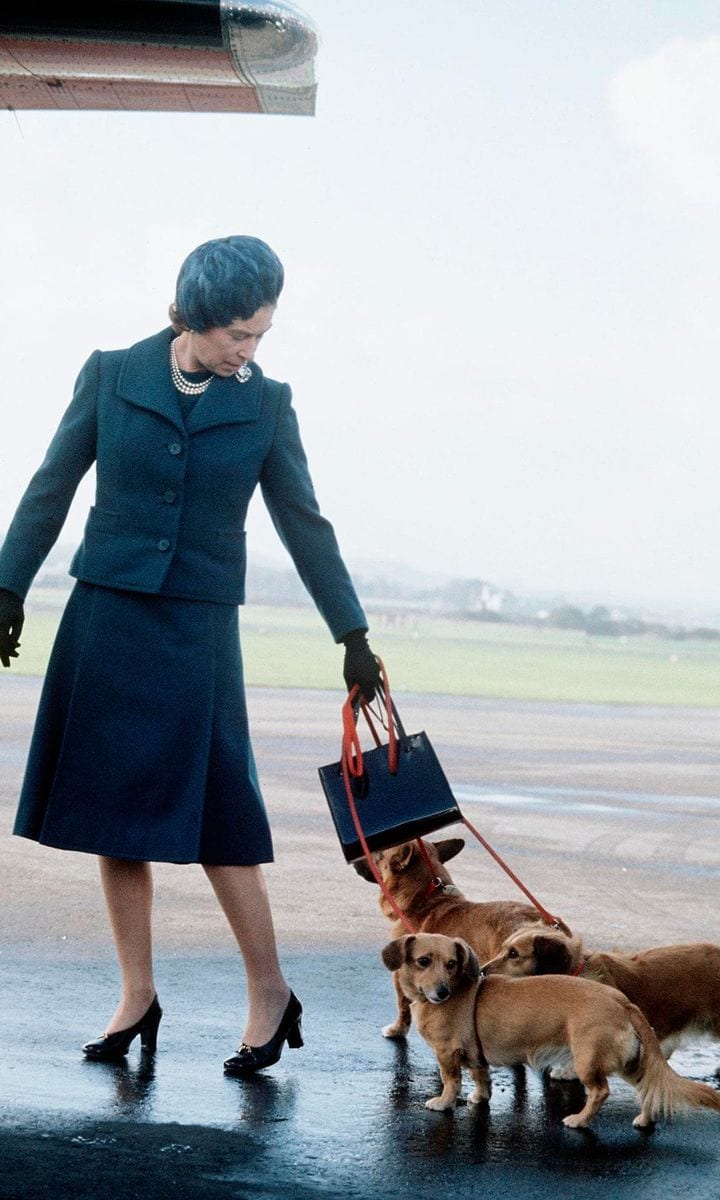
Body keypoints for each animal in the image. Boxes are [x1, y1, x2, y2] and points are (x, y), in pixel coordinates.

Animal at [350, 835, 571, 1041]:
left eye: (376, 853)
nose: (353, 859)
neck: (426, 898)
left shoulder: (402, 977)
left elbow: (403, 1007)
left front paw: (397, 1030)